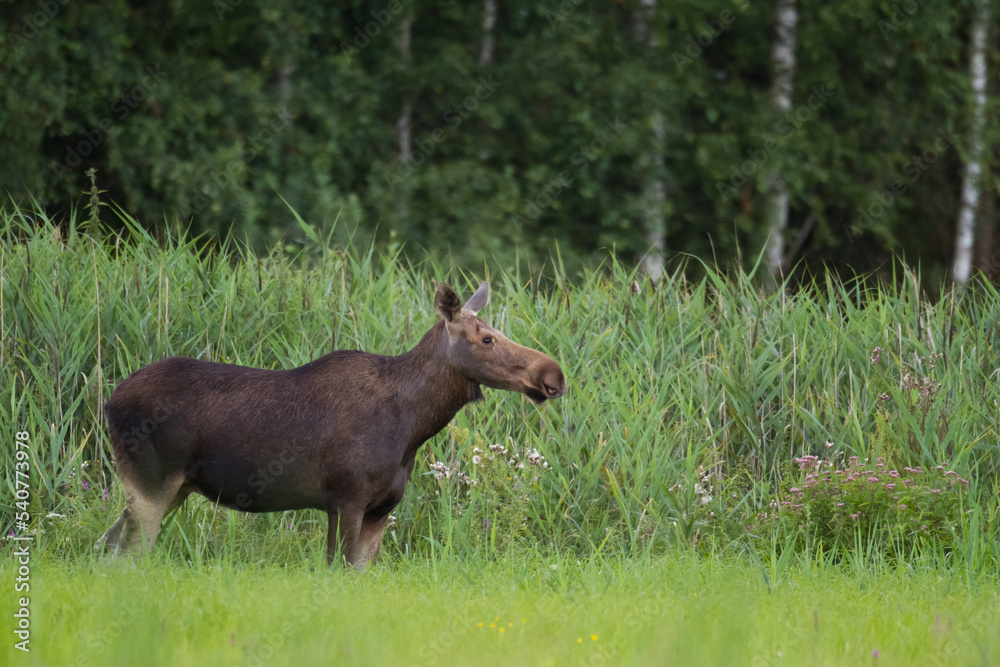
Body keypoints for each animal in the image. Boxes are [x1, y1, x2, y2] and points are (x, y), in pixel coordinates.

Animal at [97, 282, 568, 568]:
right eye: (487, 338)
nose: (553, 374)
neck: (413, 426)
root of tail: (108, 402)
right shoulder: (346, 498)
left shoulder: (380, 509)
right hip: (150, 483)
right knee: (125, 553)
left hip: (173, 488)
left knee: (109, 546)